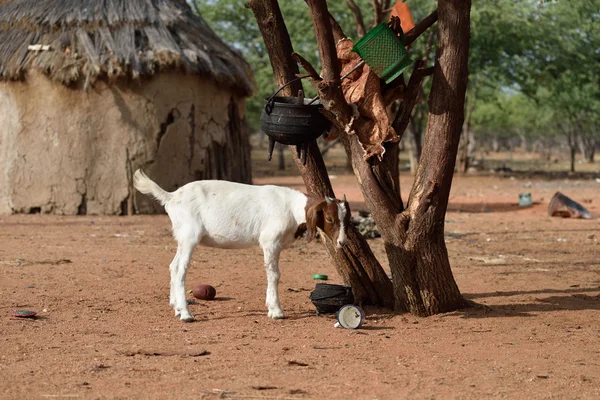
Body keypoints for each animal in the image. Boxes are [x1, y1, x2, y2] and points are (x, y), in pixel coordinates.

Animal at [131, 169, 346, 322]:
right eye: (329, 218)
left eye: (347, 218)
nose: (341, 242)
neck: (291, 207)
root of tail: (171, 196)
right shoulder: (270, 241)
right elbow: (274, 274)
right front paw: (276, 311)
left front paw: (270, 306)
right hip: (190, 235)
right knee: (180, 269)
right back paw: (185, 314)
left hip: (182, 238)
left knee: (173, 266)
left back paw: (175, 307)